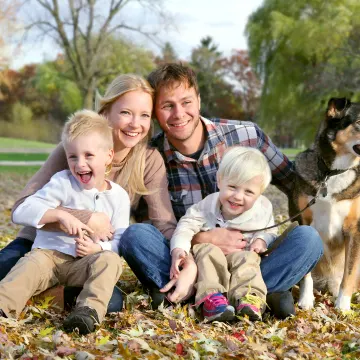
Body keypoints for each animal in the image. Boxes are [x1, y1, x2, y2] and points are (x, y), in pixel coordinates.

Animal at [292, 97, 360, 310]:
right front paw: (305, 300)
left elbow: (349, 273)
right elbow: (306, 273)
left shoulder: (354, 229)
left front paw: (343, 306)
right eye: (359, 122)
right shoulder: (305, 222)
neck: (333, 172)